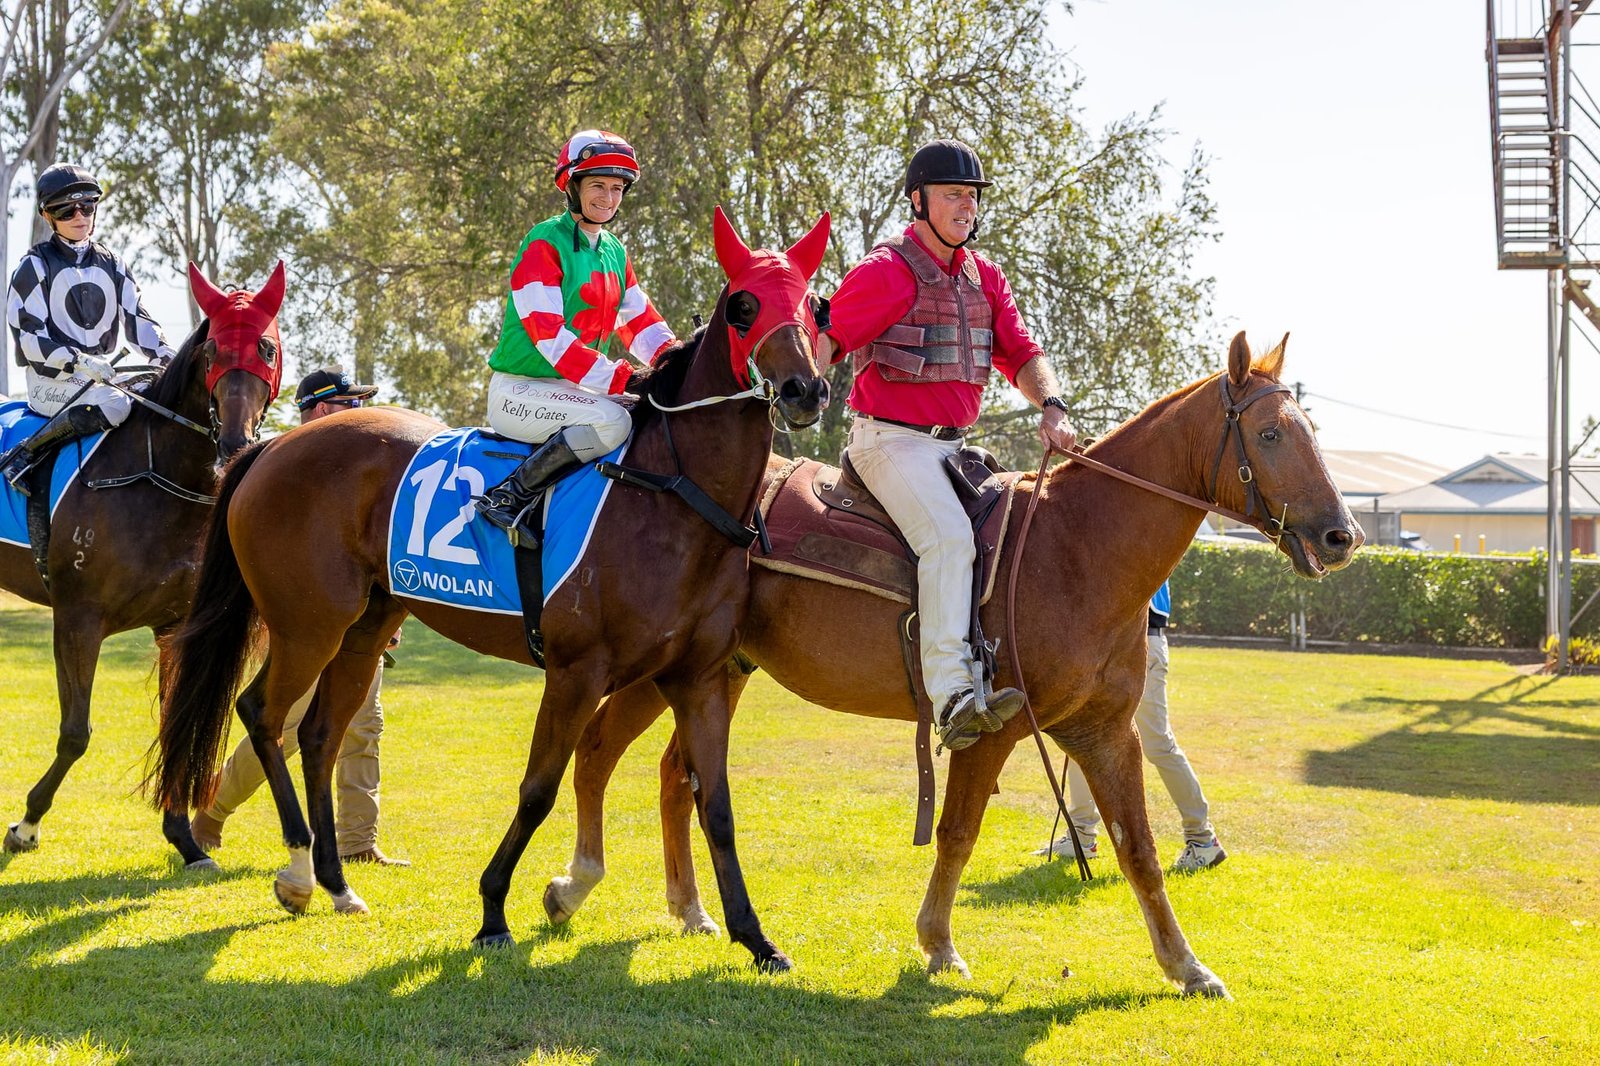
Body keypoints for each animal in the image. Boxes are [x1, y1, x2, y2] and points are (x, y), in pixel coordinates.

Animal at [1, 262, 284, 858]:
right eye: (213, 351)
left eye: (266, 348)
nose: (234, 443)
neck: (159, 479)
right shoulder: (78, 618)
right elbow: (75, 733)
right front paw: (27, 823)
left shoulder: (174, 624)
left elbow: (175, 721)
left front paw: (184, 839)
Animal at [147, 209, 832, 971]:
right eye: (743, 307)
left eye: (814, 304)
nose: (804, 391)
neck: (674, 498)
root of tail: (271, 445)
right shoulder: (576, 671)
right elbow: (538, 790)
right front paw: (494, 911)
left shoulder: (700, 677)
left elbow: (715, 805)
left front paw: (755, 937)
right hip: (307, 624)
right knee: (263, 714)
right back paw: (297, 870)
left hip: (365, 626)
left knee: (321, 734)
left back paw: (335, 883)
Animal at [538, 332, 1362, 997]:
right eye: (1269, 432)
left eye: (1309, 432)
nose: (1341, 534)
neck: (1079, 544)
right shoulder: (991, 728)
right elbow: (959, 832)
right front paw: (937, 945)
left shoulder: (1107, 733)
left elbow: (1140, 850)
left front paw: (1187, 967)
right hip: (657, 666)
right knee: (601, 749)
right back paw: (573, 886)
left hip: (717, 673)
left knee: (672, 774)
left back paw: (690, 910)